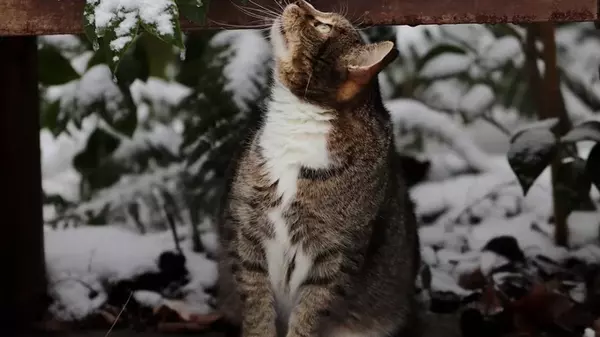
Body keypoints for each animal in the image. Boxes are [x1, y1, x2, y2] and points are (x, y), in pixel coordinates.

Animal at [214, 1, 418, 334]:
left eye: (323, 26)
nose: (300, 2)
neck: (300, 122)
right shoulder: (246, 232)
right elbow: (256, 308)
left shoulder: (338, 254)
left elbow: (310, 314)